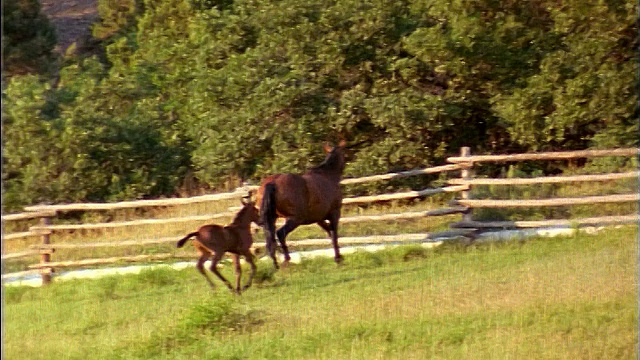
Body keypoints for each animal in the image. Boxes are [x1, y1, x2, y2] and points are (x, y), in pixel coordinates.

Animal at [255, 139, 348, 268]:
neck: (327, 175)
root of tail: (272, 183)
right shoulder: (334, 213)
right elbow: (334, 234)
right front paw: (338, 258)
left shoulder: (319, 218)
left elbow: (330, 232)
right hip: (295, 219)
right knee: (280, 234)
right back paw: (286, 260)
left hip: (271, 219)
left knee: (270, 237)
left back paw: (275, 263)